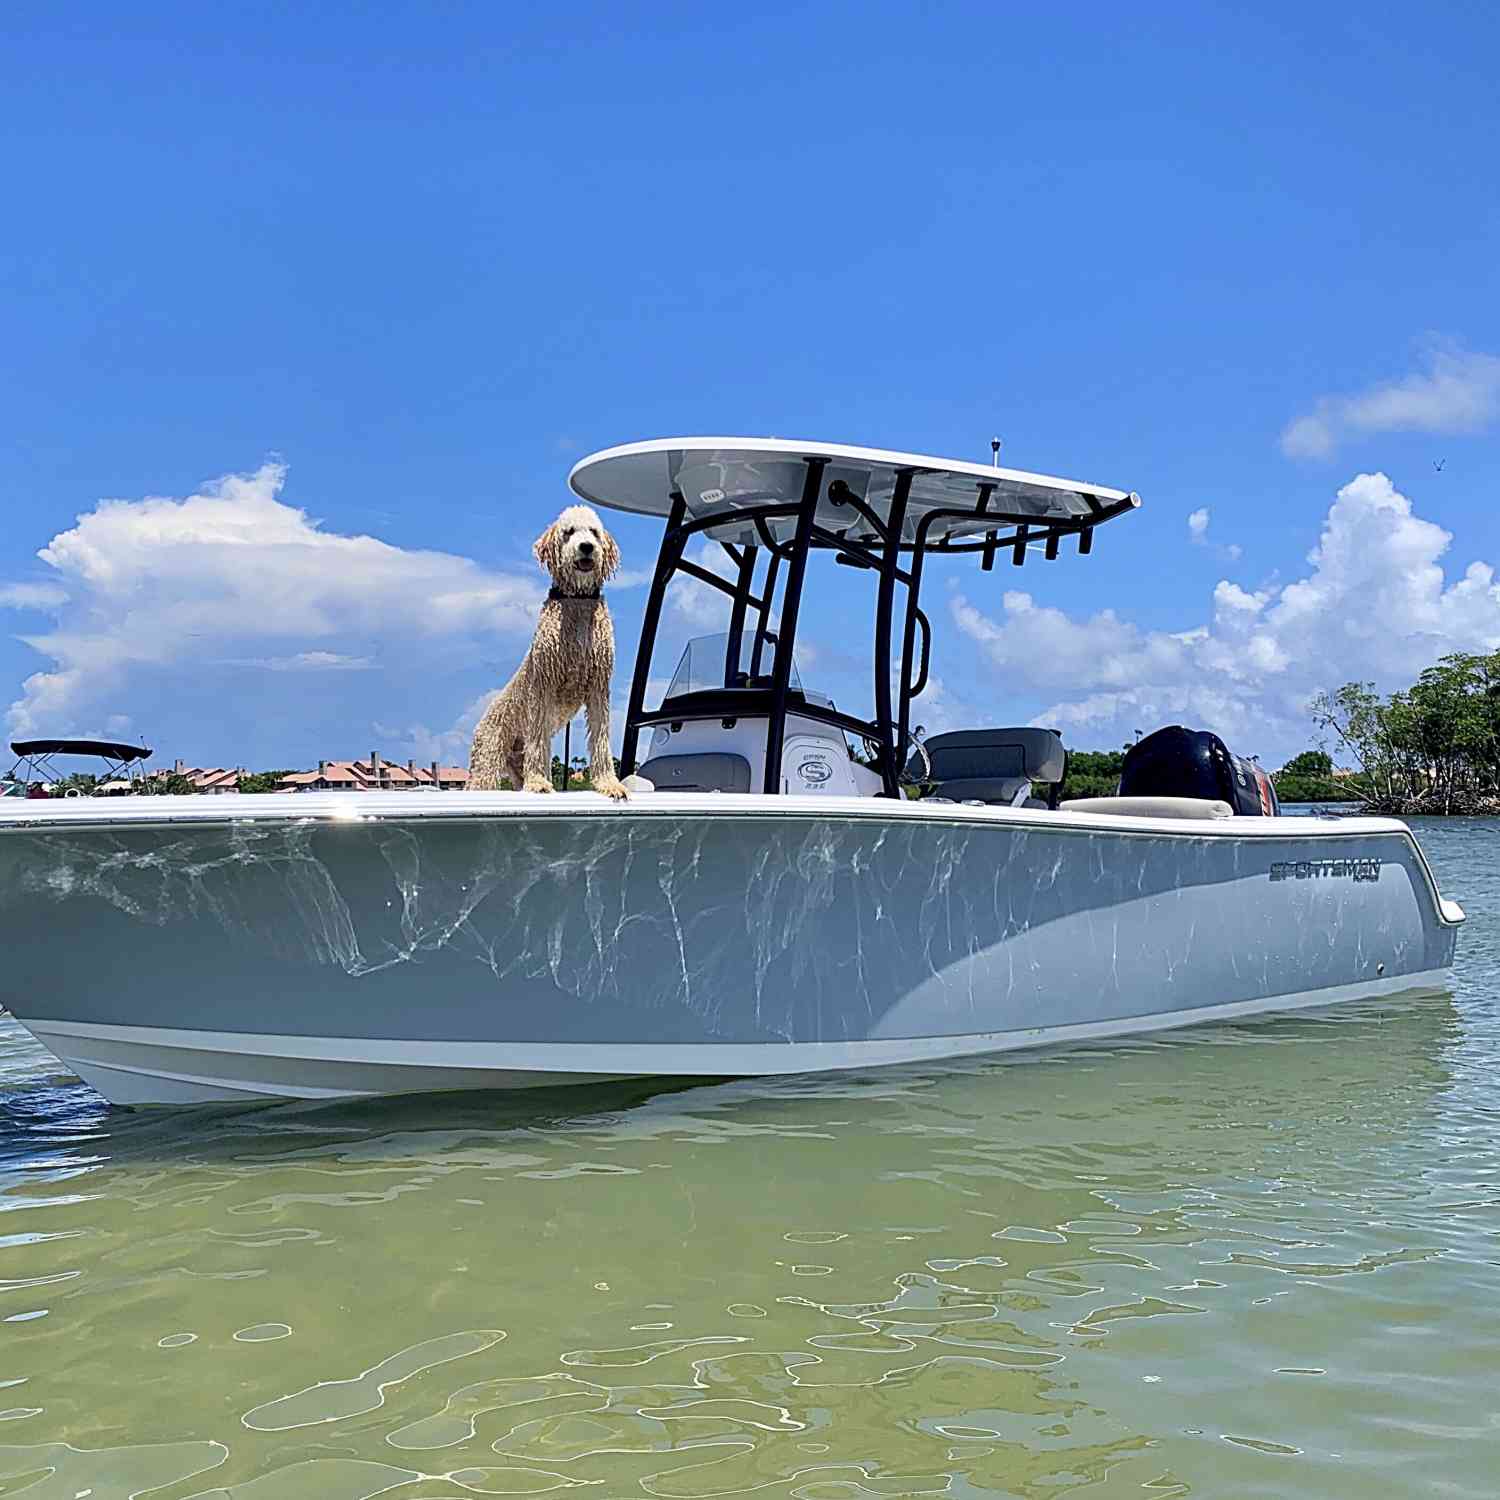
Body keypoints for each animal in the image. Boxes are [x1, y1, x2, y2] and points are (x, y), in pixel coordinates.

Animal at [471, 504, 630, 804]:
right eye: (569, 532)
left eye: (594, 532)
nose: (586, 547)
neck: (577, 601)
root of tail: (479, 725)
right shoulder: (543, 685)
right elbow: (538, 739)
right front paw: (539, 782)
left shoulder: (598, 687)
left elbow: (601, 738)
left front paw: (609, 783)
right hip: (487, 760)